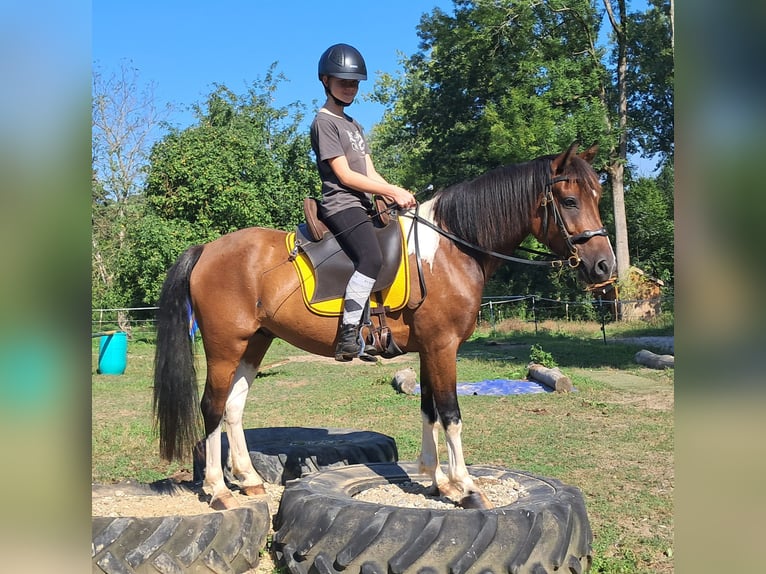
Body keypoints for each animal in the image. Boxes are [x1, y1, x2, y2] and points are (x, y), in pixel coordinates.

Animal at [153, 142, 616, 510]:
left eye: (597, 194)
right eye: (570, 201)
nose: (604, 267)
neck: (451, 248)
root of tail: (207, 248)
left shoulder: (430, 348)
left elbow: (429, 409)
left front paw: (438, 481)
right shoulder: (443, 346)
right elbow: (451, 414)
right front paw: (466, 487)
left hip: (255, 342)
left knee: (233, 407)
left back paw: (248, 479)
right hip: (225, 344)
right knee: (212, 408)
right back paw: (217, 489)